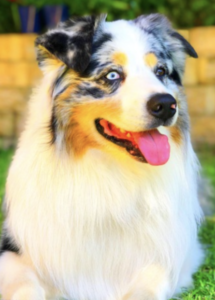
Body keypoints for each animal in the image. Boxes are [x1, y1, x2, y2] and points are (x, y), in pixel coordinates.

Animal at [0, 12, 203, 298]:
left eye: (161, 72)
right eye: (112, 75)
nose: (166, 105)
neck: (108, 170)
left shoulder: (172, 255)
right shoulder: (16, 249)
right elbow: (24, 286)